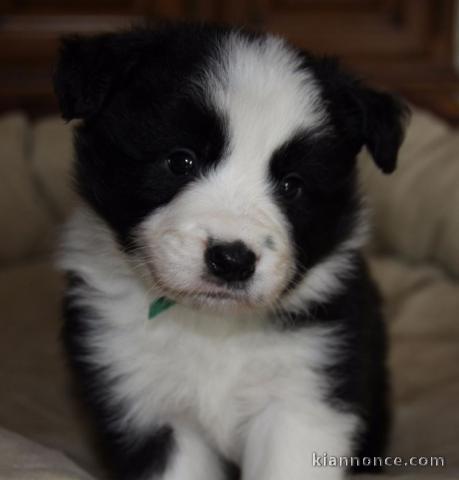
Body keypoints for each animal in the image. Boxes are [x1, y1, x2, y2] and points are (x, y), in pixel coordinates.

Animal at [54, 22, 410, 480]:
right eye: (180, 161)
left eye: (292, 185)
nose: (232, 259)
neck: (212, 327)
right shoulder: (146, 403)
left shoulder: (304, 397)